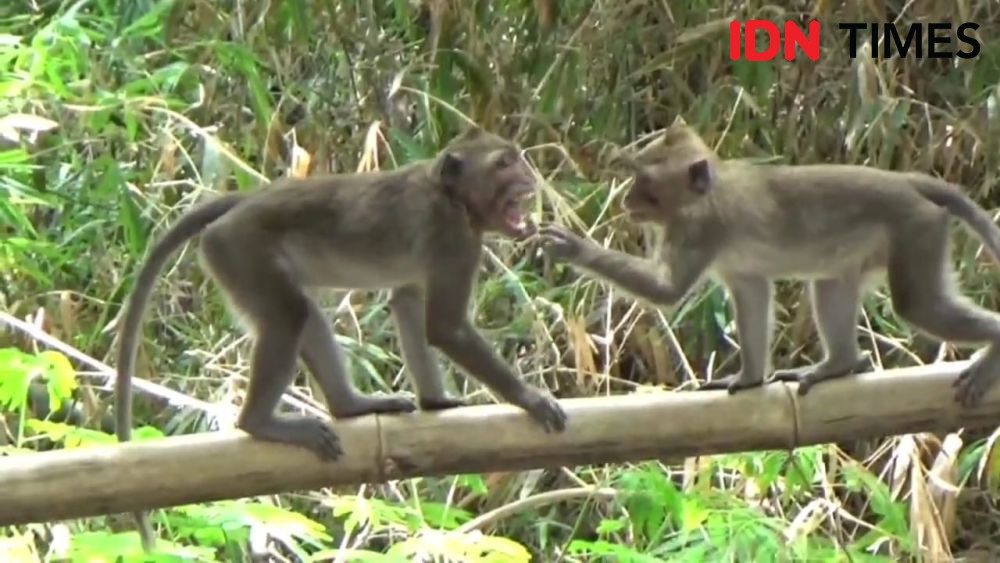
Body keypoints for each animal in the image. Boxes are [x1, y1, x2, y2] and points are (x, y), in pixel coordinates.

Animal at [114, 126, 568, 552]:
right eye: (503, 163)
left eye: (516, 159)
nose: (529, 176)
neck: (449, 194)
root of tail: (245, 203)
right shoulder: (453, 236)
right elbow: (445, 327)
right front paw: (529, 399)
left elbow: (407, 301)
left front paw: (435, 400)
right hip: (237, 249)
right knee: (289, 315)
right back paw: (260, 422)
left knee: (304, 313)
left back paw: (349, 406)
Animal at [544, 119, 1000, 408]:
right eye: (637, 176)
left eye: (648, 185)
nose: (627, 199)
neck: (704, 195)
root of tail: (908, 182)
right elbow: (752, 293)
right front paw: (748, 377)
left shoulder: (698, 230)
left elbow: (666, 290)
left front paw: (574, 248)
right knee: (830, 283)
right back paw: (839, 364)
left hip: (916, 230)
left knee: (917, 304)